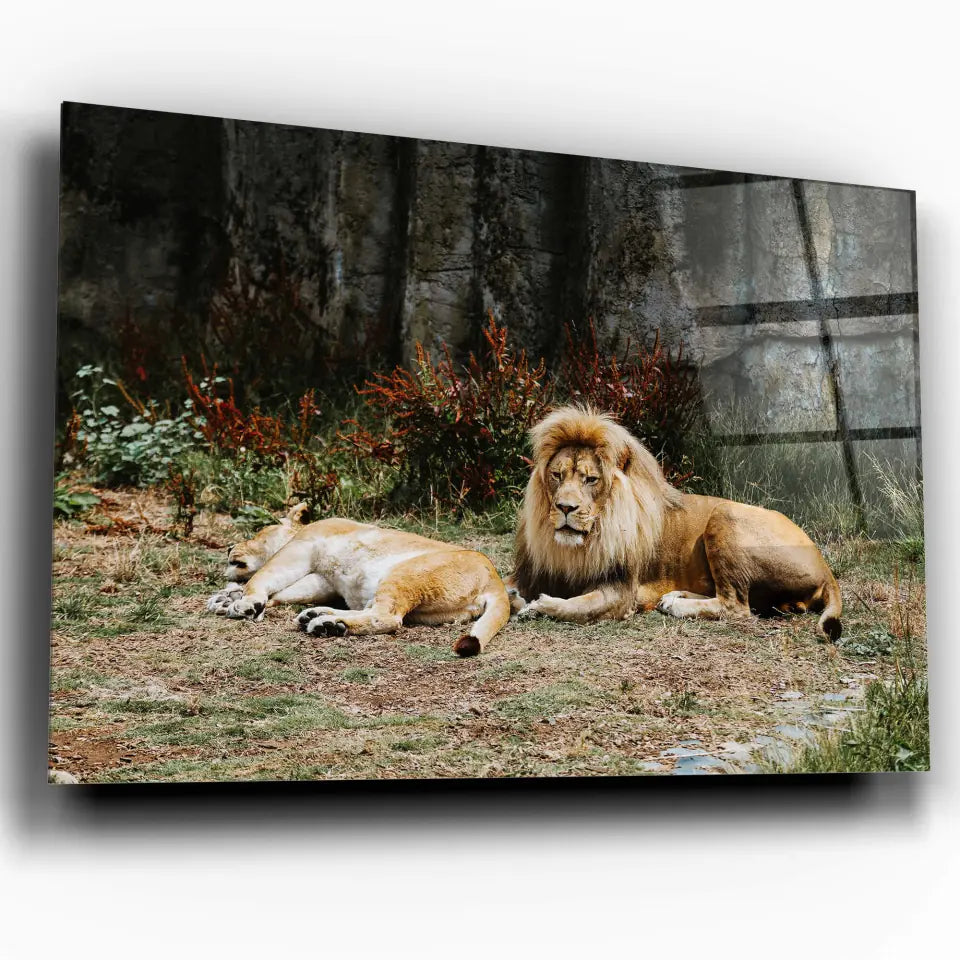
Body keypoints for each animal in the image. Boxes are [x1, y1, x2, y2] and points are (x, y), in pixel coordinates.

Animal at [206, 504, 510, 656]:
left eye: (256, 532)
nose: (229, 547)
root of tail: (496, 581)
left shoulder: (300, 549)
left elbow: (261, 577)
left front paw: (245, 603)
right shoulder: (321, 579)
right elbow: (282, 592)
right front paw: (226, 599)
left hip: (404, 574)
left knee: (387, 618)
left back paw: (325, 625)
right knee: (372, 611)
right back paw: (321, 619)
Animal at [508, 407, 842, 641]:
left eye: (591, 479)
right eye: (557, 475)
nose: (565, 507)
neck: (577, 546)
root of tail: (825, 567)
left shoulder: (621, 591)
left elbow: (576, 607)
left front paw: (536, 607)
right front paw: (513, 599)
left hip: (725, 515)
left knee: (736, 606)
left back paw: (677, 605)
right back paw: (674, 597)